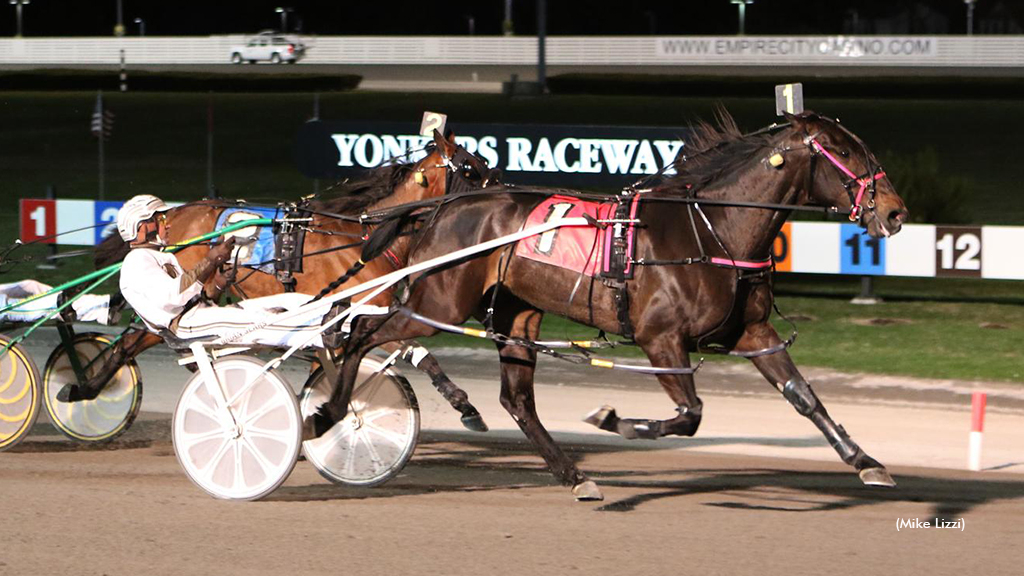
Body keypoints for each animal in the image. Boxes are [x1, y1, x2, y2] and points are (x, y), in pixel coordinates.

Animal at [66, 127, 497, 428]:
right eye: (471, 168)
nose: (503, 193)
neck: (365, 239)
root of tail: (173, 215)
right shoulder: (357, 309)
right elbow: (406, 349)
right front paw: (464, 404)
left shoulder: (364, 312)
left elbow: (409, 352)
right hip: (180, 300)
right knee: (136, 338)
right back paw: (87, 386)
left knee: (138, 340)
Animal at [315, 111, 909, 498]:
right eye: (847, 152)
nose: (897, 212)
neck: (712, 229)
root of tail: (441, 208)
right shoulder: (660, 338)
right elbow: (689, 416)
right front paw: (612, 418)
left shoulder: (752, 333)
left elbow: (805, 398)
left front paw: (866, 462)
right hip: (440, 301)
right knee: (358, 333)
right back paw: (329, 412)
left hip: (516, 312)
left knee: (517, 400)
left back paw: (576, 477)